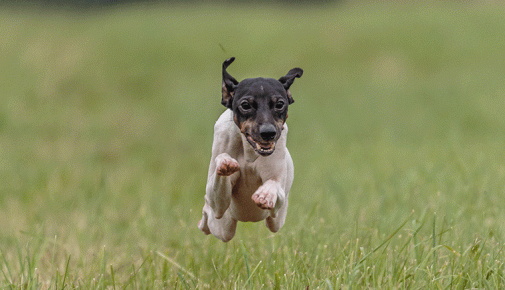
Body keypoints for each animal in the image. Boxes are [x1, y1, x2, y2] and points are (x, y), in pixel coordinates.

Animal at [197, 57, 302, 242]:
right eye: (245, 105)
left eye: (280, 104)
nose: (268, 133)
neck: (249, 152)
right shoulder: (218, 204)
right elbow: (216, 194)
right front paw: (225, 162)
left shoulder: (278, 202)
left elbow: (275, 186)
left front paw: (265, 194)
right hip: (223, 227)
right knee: (208, 216)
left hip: (277, 220)